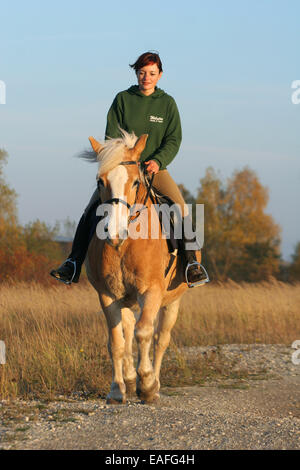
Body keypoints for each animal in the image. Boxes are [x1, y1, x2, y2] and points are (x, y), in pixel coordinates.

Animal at [84, 129, 199, 404]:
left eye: (136, 182)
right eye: (100, 181)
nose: (115, 232)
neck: (126, 245)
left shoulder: (152, 292)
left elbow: (144, 333)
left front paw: (146, 384)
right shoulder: (108, 295)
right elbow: (116, 341)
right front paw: (117, 389)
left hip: (172, 302)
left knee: (160, 339)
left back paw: (153, 383)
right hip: (126, 299)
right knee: (127, 332)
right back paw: (128, 378)